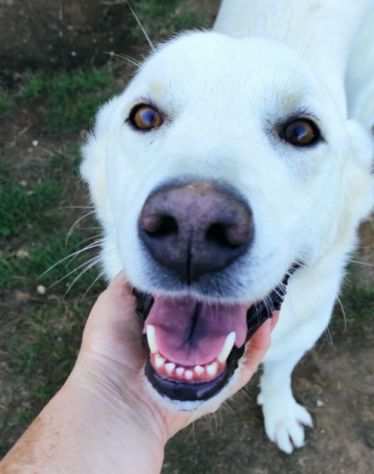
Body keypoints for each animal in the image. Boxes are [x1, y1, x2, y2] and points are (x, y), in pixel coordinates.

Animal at [80, 0, 372, 456]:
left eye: (301, 131)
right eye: (145, 116)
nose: (192, 227)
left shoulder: (304, 330)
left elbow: (279, 371)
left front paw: (280, 411)